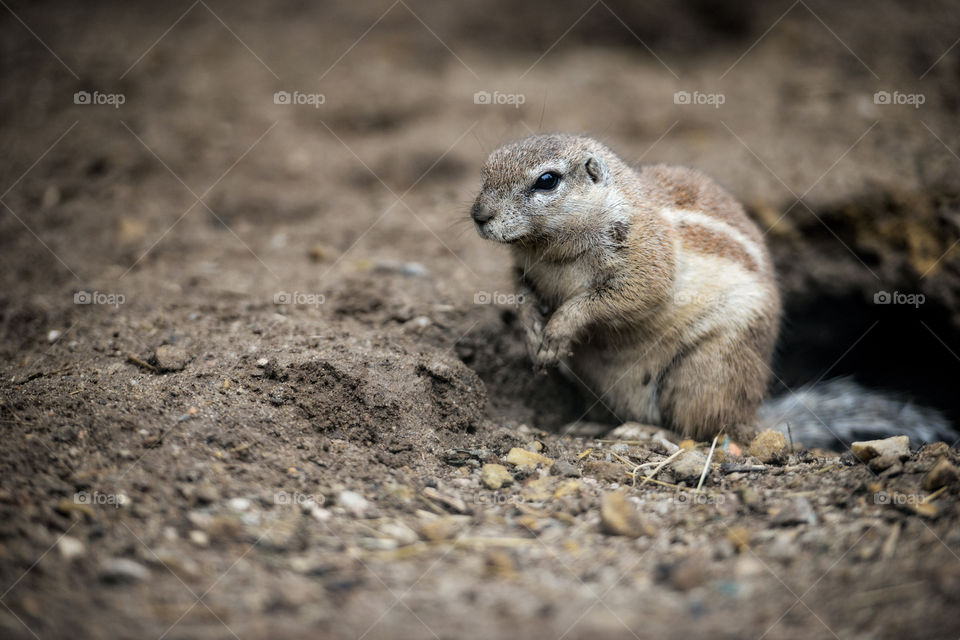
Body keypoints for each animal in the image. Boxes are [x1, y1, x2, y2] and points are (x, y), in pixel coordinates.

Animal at [471, 133, 954, 449]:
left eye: (547, 181)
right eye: (486, 168)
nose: (478, 215)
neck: (550, 248)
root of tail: (752, 417)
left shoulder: (647, 259)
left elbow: (615, 299)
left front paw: (559, 329)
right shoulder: (525, 272)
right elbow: (524, 296)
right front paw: (533, 332)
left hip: (705, 372)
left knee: (704, 431)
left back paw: (647, 431)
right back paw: (588, 426)